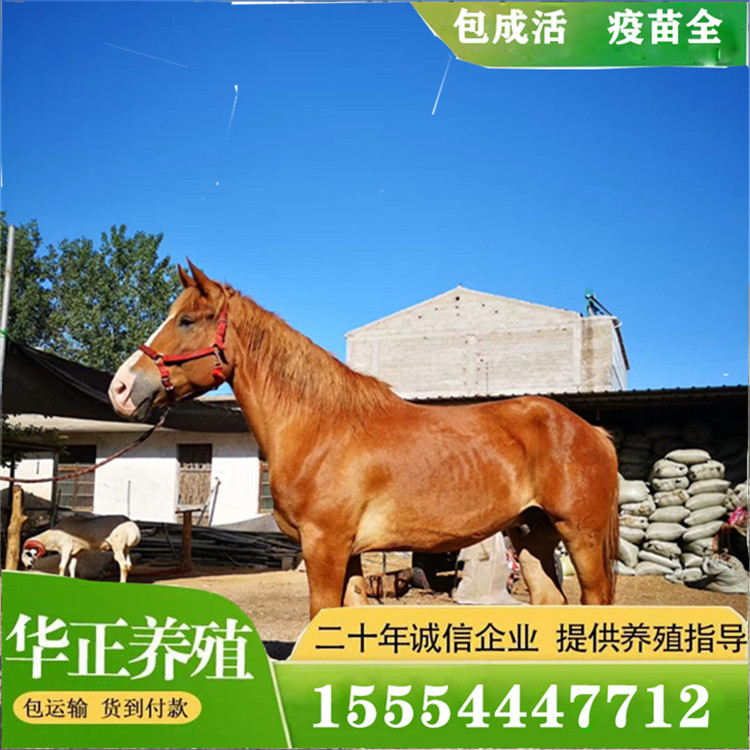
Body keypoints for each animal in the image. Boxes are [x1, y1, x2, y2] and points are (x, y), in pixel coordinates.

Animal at [109, 262, 619, 618]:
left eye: (188, 320)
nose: (120, 388)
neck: (321, 428)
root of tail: (589, 429)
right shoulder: (348, 554)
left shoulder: (325, 547)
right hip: (531, 536)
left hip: (581, 537)